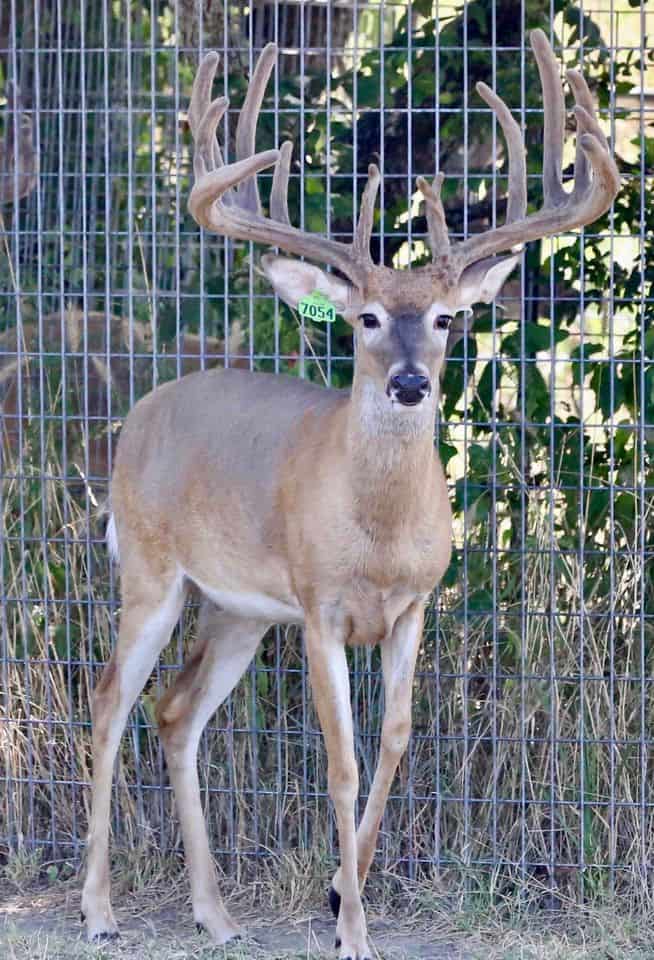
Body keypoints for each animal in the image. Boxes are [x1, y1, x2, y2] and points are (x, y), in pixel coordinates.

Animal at [81, 30, 619, 959]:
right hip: (151, 571)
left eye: (446, 318)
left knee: (176, 710)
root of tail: (143, 409)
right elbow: (342, 759)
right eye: (365, 318)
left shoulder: (413, 606)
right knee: (113, 699)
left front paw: (341, 895)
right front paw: (355, 931)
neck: (378, 534)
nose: (408, 382)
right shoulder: (321, 605)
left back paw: (214, 913)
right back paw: (99, 908)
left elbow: (396, 742)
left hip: (241, 610)